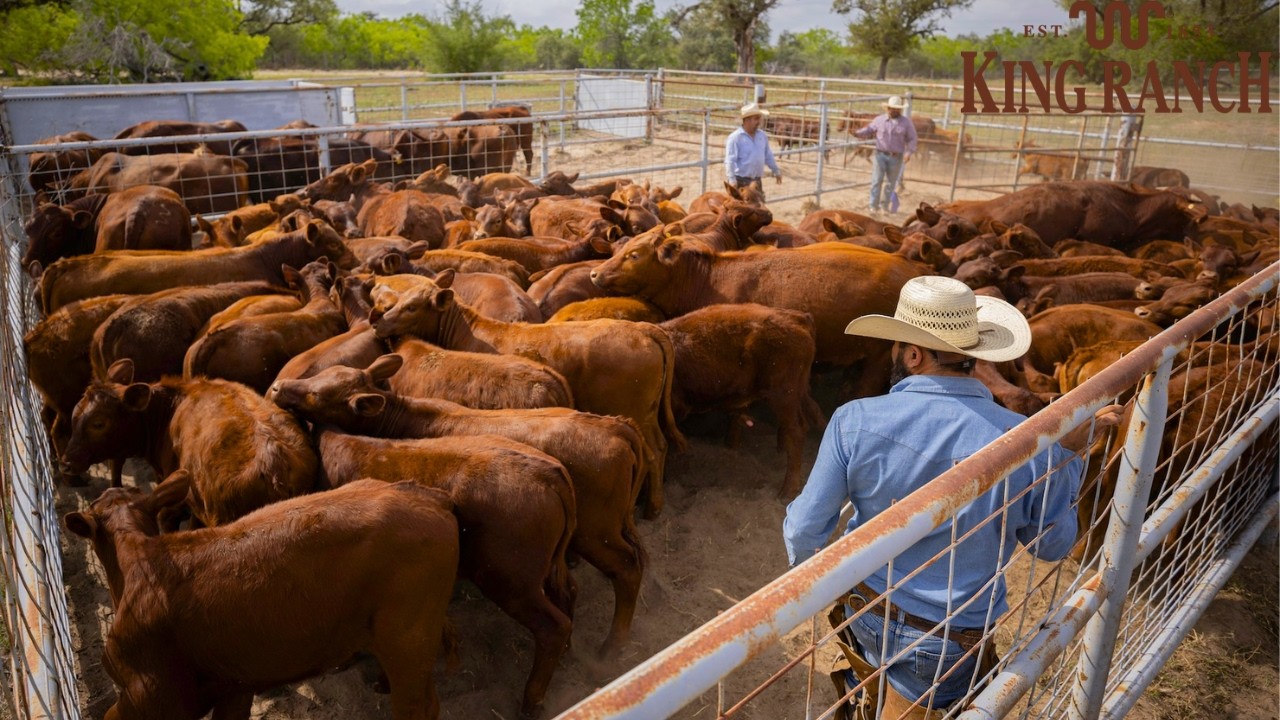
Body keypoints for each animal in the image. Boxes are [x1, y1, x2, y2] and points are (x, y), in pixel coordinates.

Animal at [64, 477, 458, 720]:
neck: (138, 561)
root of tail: (426, 495)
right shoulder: (234, 684)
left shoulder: (151, 696)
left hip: (406, 643)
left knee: (416, 707)